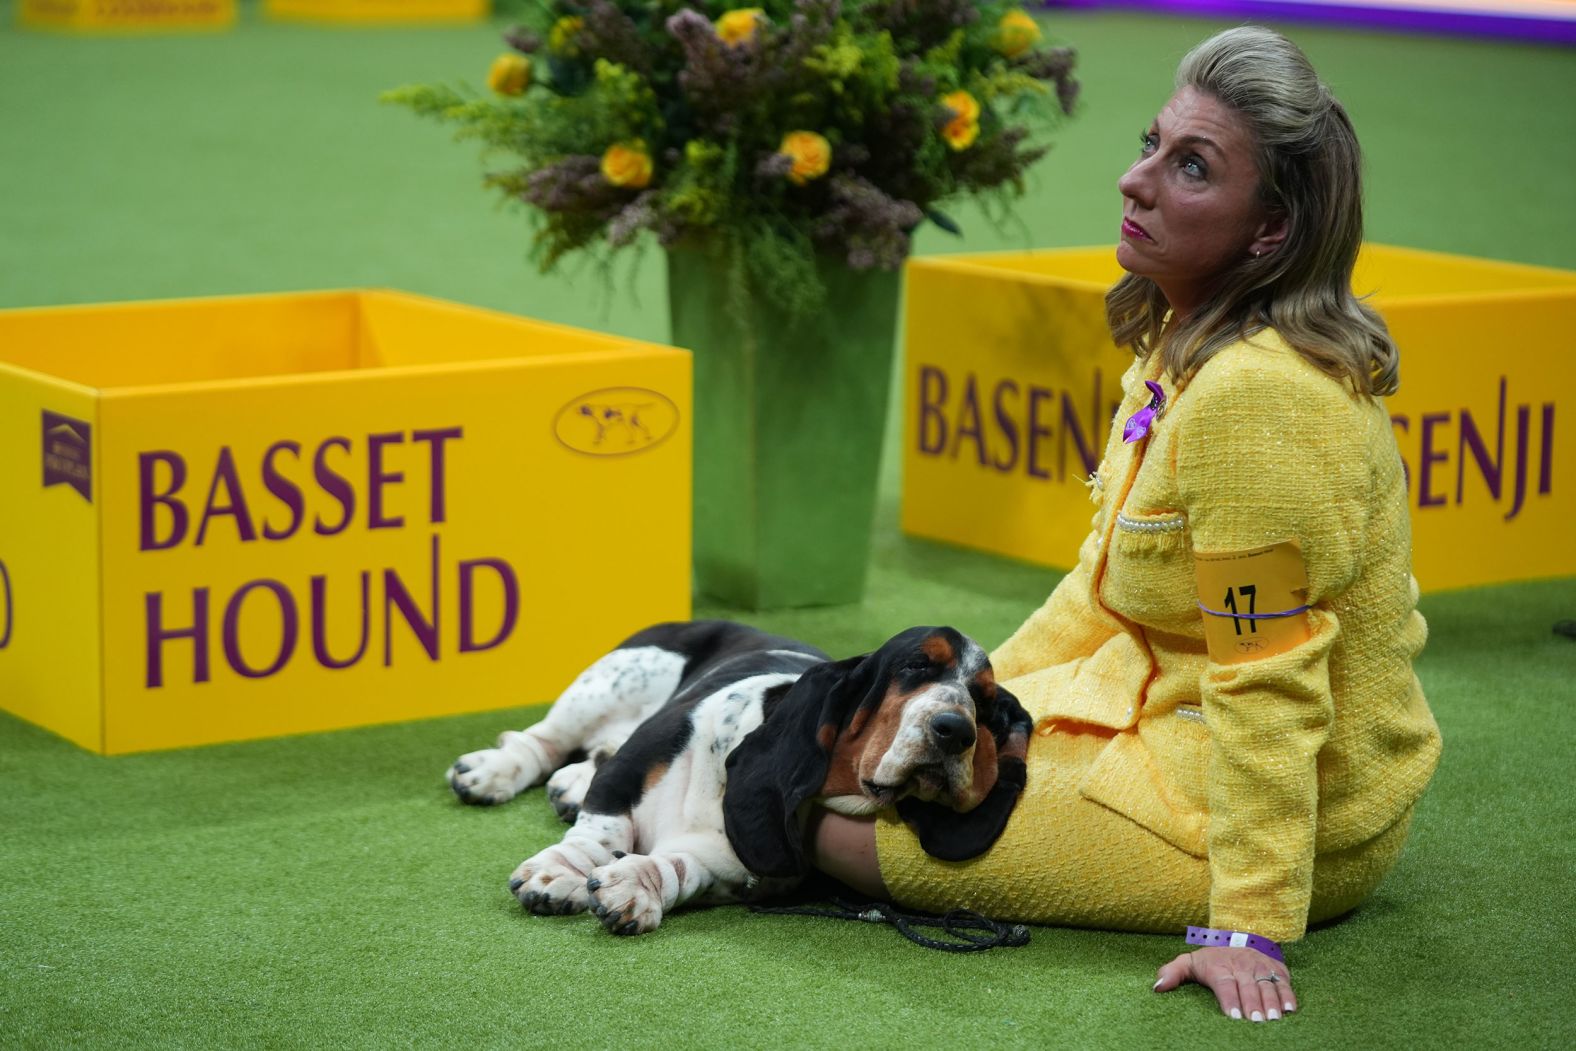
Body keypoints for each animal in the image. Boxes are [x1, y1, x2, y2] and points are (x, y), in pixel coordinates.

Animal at [447, 620, 1033, 932]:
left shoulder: (747, 869)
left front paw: (636, 886)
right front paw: (555, 874)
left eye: (983, 703)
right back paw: (490, 773)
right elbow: (598, 830)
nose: (955, 730)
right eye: (915, 666)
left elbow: (686, 865)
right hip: (608, 685)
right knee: (541, 739)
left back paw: (568, 784)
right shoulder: (629, 770)